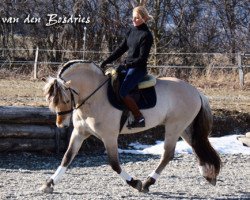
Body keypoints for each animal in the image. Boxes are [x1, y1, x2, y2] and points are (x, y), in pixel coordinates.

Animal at [40, 60, 222, 193]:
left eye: (65, 99)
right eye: (51, 100)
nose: (61, 124)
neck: (95, 96)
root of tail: (196, 91)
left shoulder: (109, 137)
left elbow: (114, 164)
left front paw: (135, 183)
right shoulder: (79, 133)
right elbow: (67, 157)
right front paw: (49, 184)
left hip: (174, 127)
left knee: (168, 155)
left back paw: (148, 182)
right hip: (184, 127)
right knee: (196, 146)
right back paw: (208, 175)